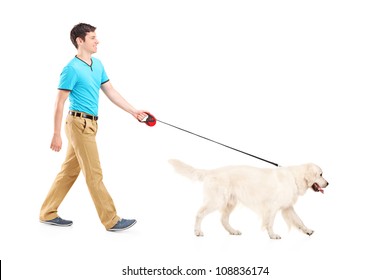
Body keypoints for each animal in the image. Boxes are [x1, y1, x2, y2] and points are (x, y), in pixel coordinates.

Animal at [169, 160, 328, 238]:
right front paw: (272, 235)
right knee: (199, 213)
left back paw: (233, 231)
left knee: (223, 219)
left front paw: (307, 231)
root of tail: (212, 172)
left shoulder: (287, 207)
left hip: (229, 202)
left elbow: (299, 221)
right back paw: (197, 232)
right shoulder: (272, 207)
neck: (294, 177)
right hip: (217, 200)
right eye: (320, 174)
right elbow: (270, 223)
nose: (328, 183)